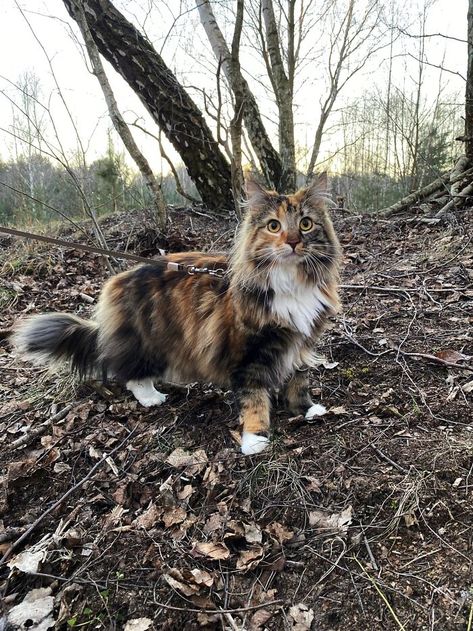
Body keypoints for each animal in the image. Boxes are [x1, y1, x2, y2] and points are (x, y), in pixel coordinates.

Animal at [11, 175, 342, 456]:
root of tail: (119, 279)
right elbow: (254, 398)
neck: (290, 284)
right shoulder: (249, 353)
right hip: (150, 341)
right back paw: (151, 397)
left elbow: (299, 380)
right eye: (274, 226)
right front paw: (255, 439)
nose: (293, 242)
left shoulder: (300, 342)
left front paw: (306, 409)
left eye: (306, 224)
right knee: (131, 374)